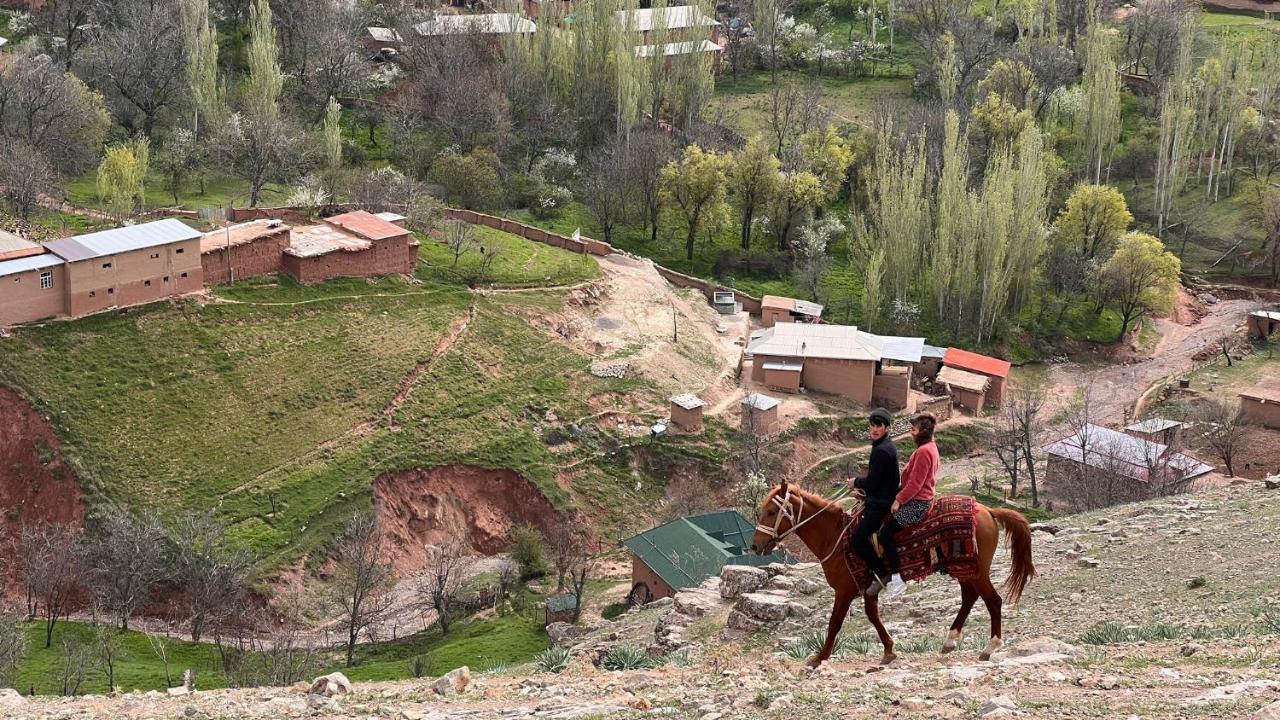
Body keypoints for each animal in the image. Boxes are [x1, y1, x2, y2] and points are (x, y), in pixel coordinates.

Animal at [747, 481, 1034, 666]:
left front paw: (819, 657)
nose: (756, 546)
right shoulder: (868, 588)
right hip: (963, 568)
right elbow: (873, 616)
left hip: (975, 570)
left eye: (771, 511)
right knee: (969, 598)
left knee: (992, 600)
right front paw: (889, 651)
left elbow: (834, 623)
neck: (835, 536)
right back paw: (950, 641)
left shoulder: (844, 590)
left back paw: (990, 647)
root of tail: (988, 511)